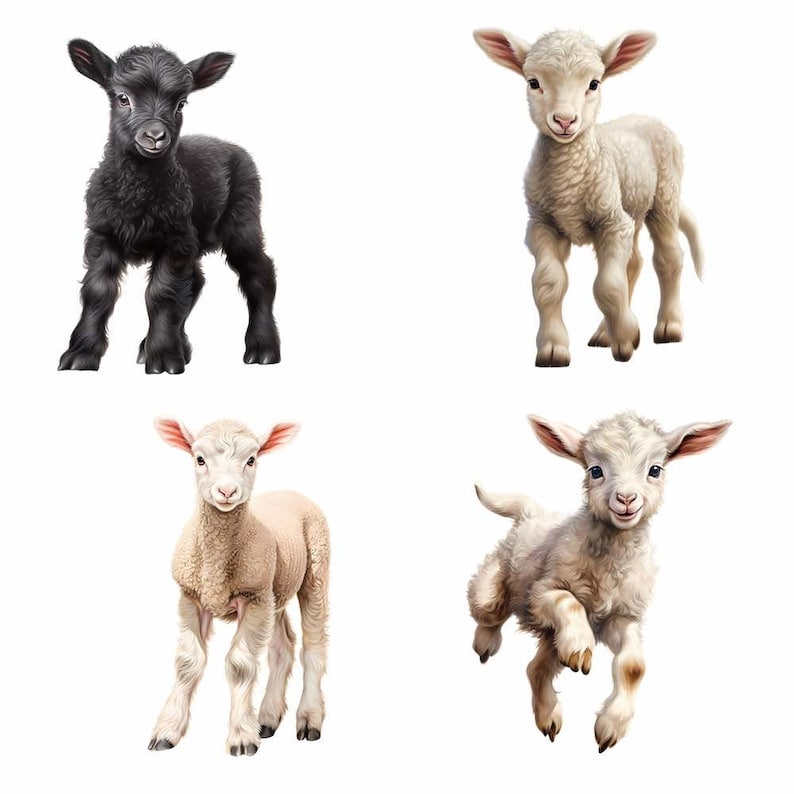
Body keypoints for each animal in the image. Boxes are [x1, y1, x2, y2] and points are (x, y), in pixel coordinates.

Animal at [58, 40, 280, 374]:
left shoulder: (175, 240)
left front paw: (163, 359)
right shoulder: (103, 234)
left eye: (181, 104)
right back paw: (174, 347)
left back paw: (263, 350)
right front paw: (80, 355)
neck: (137, 191)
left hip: (243, 221)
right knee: (197, 283)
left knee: (258, 274)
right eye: (123, 98)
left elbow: (162, 294)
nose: (155, 136)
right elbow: (98, 292)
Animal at [148, 418, 329, 755]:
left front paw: (242, 737)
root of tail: (289, 492)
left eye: (251, 459)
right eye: (199, 459)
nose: (227, 491)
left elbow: (240, 665)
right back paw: (268, 719)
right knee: (283, 647)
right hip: (274, 590)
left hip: (315, 571)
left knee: (312, 647)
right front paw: (167, 731)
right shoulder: (191, 596)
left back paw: (309, 719)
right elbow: (187, 662)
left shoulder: (251, 597)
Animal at [468, 412, 729, 751]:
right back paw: (485, 644)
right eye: (595, 471)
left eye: (655, 470)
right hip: (499, 585)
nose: (626, 499)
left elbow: (633, 666)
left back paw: (548, 718)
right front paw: (580, 647)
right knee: (488, 609)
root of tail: (531, 515)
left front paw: (610, 727)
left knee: (536, 668)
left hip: (551, 638)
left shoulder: (621, 616)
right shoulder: (541, 592)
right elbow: (567, 601)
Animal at [473, 29, 702, 366]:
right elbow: (548, 283)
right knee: (633, 262)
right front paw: (553, 349)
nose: (565, 121)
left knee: (668, 258)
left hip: (664, 197)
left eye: (594, 84)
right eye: (533, 82)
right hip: (630, 208)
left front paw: (627, 338)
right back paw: (605, 334)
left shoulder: (611, 222)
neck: (568, 182)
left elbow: (607, 286)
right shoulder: (542, 224)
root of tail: (646, 117)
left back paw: (668, 327)